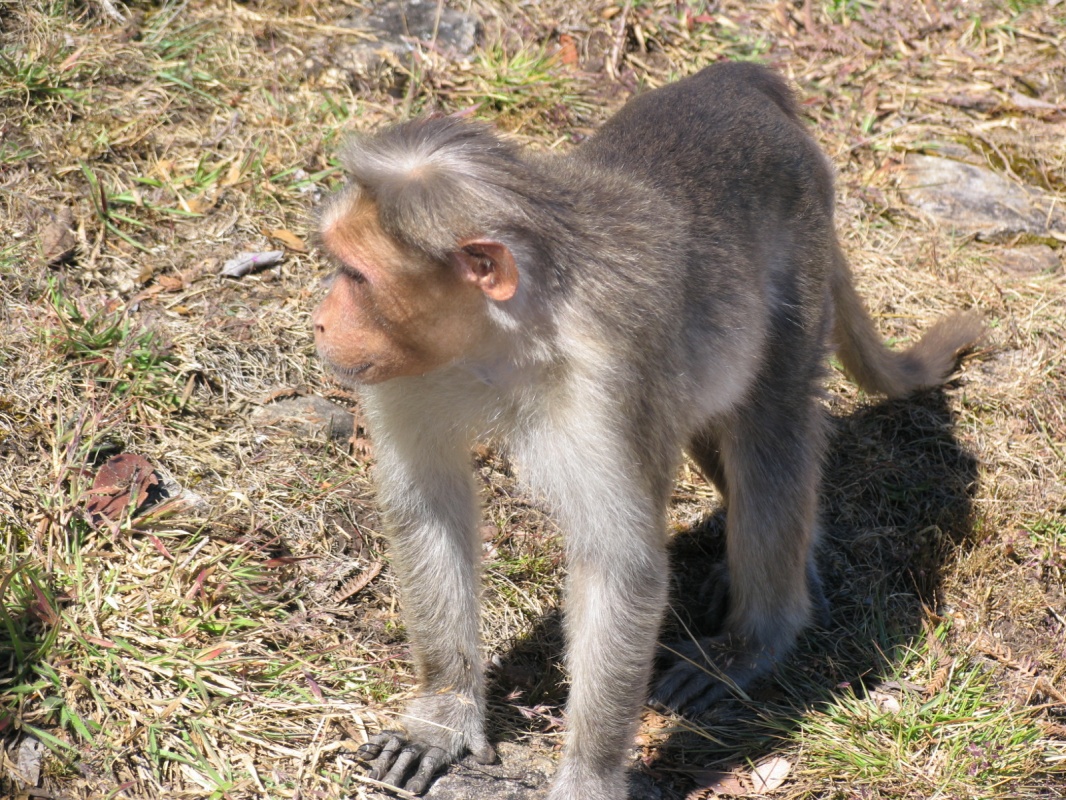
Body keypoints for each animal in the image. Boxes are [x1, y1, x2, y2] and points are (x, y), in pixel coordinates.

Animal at [311, 62, 983, 800]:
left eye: (355, 275)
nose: (321, 321)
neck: (506, 337)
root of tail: (737, 79)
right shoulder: (414, 365)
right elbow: (429, 507)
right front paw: (443, 714)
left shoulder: (607, 384)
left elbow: (621, 568)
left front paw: (588, 776)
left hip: (801, 259)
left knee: (768, 431)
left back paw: (756, 640)